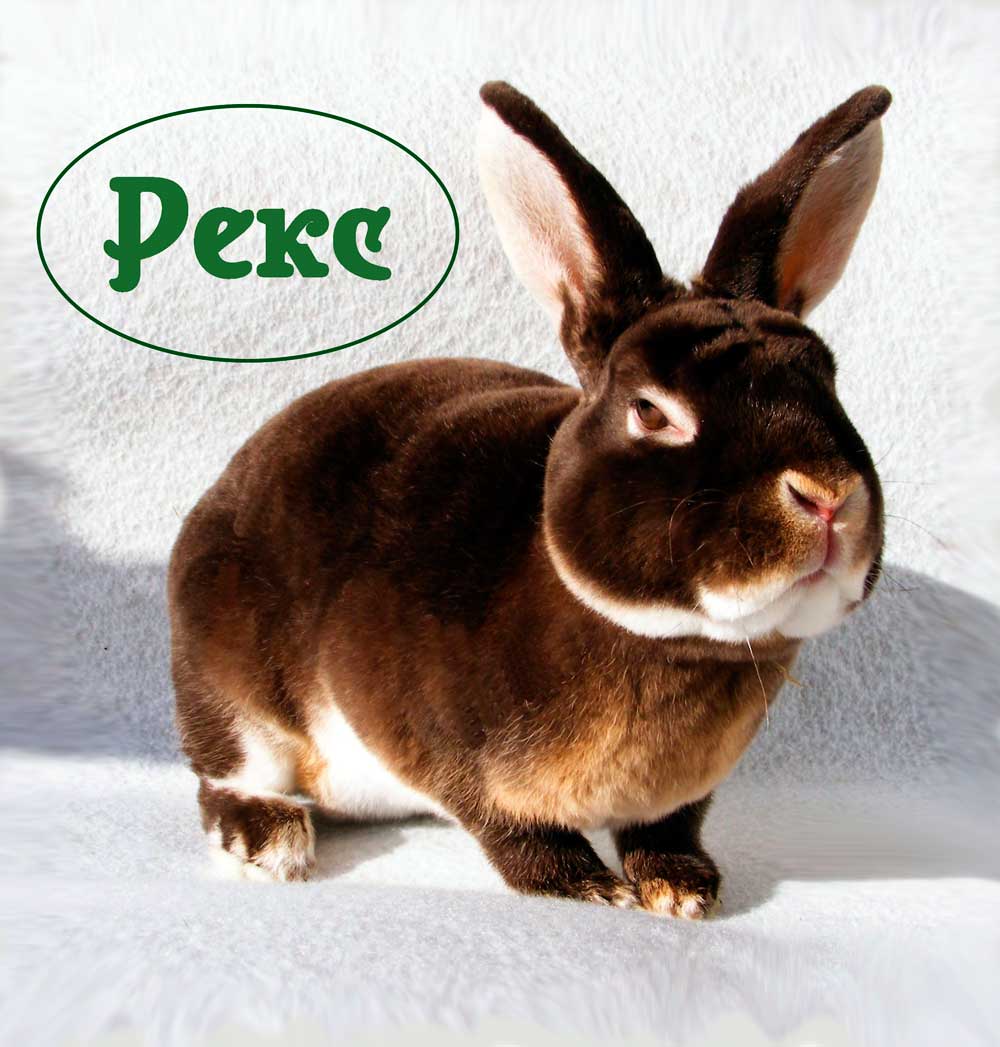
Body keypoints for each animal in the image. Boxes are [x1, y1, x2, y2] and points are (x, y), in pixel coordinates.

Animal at [169, 80, 889, 916]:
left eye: (829, 381)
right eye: (652, 411)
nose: (829, 498)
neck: (676, 643)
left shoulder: (683, 795)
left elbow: (669, 827)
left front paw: (682, 888)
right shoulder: (442, 745)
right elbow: (511, 829)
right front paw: (589, 887)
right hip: (231, 688)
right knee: (226, 774)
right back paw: (270, 840)